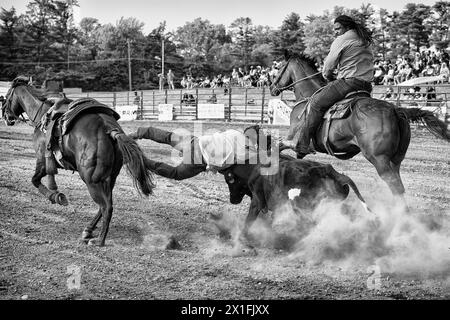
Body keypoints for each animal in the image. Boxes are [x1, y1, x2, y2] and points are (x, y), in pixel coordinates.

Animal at [1, 76, 156, 246]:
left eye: (7, 95)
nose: (5, 116)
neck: (41, 114)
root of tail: (110, 130)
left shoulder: (41, 160)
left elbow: (35, 180)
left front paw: (56, 197)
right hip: (109, 179)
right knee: (104, 205)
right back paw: (88, 230)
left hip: (91, 179)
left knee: (106, 207)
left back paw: (99, 240)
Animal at [270, 53, 450, 198]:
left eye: (278, 69)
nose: (272, 87)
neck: (307, 97)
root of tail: (395, 109)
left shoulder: (293, 138)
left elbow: (278, 146)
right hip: (395, 160)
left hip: (379, 159)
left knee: (395, 187)